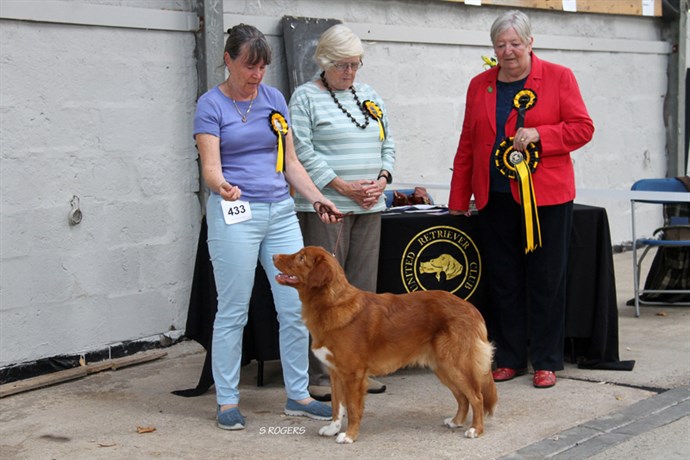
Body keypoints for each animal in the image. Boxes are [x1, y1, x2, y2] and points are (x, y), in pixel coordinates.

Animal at [270, 246, 494, 444]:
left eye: (301, 258)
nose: (273, 256)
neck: (331, 303)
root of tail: (471, 308)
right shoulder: (335, 372)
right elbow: (336, 405)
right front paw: (333, 428)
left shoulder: (353, 374)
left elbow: (352, 408)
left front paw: (349, 436)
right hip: (443, 367)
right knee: (463, 397)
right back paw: (456, 421)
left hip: (455, 363)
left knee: (476, 396)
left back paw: (476, 429)